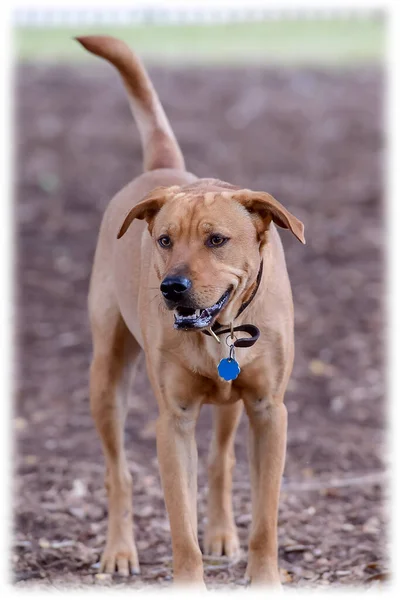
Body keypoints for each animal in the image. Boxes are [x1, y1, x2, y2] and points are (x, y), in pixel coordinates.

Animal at [76, 35, 304, 588]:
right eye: (164, 240)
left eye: (216, 240)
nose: (171, 287)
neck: (218, 334)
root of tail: (162, 169)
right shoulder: (173, 421)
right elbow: (180, 525)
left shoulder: (269, 411)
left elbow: (266, 517)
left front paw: (263, 577)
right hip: (106, 376)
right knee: (118, 472)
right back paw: (119, 550)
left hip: (231, 405)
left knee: (221, 462)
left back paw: (222, 534)